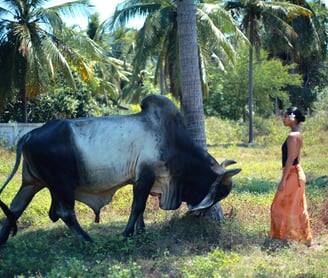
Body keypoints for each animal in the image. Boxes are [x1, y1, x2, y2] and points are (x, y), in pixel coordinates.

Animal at [0, 94, 241, 245]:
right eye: (220, 192)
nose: (200, 214)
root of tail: (30, 134)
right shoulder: (145, 175)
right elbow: (137, 206)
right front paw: (126, 234)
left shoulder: (145, 179)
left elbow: (141, 209)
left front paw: (141, 232)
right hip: (61, 183)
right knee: (64, 212)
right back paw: (88, 241)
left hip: (32, 181)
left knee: (15, 207)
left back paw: (4, 243)